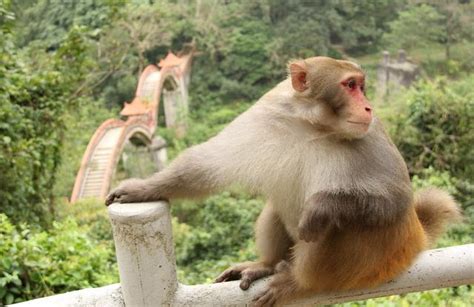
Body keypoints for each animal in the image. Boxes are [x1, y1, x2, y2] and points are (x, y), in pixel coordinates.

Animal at [105, 56, 462, 306]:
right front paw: (143, 188)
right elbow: (206, 166)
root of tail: (414, 238)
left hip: (378, 260)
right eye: (350, 85)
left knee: (339, 226)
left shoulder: (372, 134)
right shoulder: (266, 114)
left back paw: (300, 282)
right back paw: (265, 264)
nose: (368, 106)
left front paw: (320, 207)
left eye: (362, 86)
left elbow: (395, 198)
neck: (312, 125)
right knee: (277, 208)